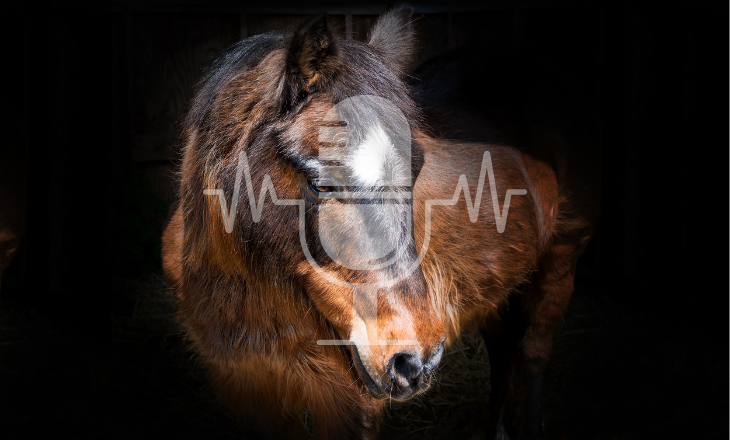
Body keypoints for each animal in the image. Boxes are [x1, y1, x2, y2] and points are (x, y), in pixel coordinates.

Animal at [162, 7, 600, 440]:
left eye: (417, 171)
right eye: (322, 183)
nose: (417, 361)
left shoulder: (348, 404)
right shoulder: (246, 390)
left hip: (560, 260)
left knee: (533, 355)